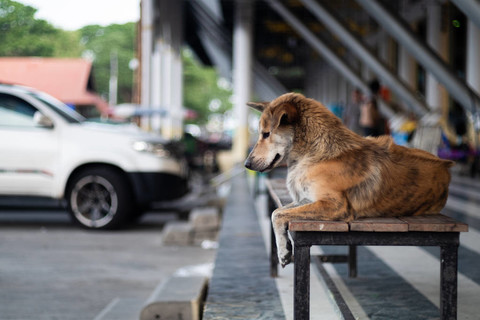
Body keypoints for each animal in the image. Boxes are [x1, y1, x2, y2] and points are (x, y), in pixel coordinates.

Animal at [244, 92, 454, 268]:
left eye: (266, 134)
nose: (246, 164)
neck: (315, 152)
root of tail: (446, 165)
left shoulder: (335, 205)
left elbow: (279, 215)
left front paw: (284, 252)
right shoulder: (306, 199)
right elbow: (276, 213)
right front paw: (283, 248)